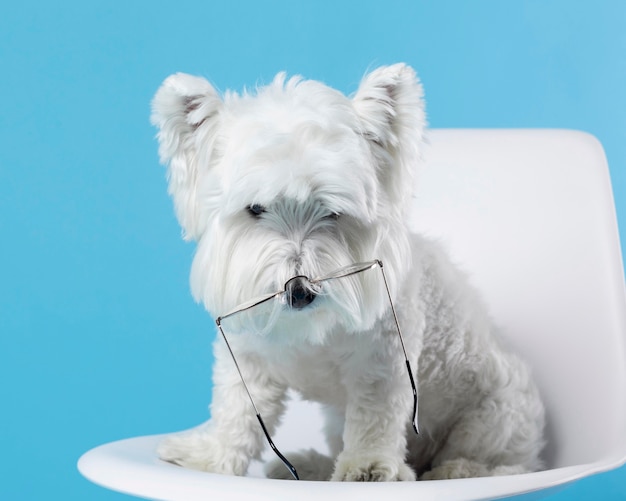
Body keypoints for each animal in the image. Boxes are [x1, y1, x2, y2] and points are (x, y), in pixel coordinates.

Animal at [150, 63, 540, 480]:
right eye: (255, 209)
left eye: (332, 211)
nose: (298, 291)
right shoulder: (246, 358)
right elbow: (235, 414)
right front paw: (210, 456)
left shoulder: (382, 363)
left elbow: (375, 418)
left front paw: (369, 466)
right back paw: (312, 464)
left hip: (493, 420)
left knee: (503, 464)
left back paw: (453, 470)